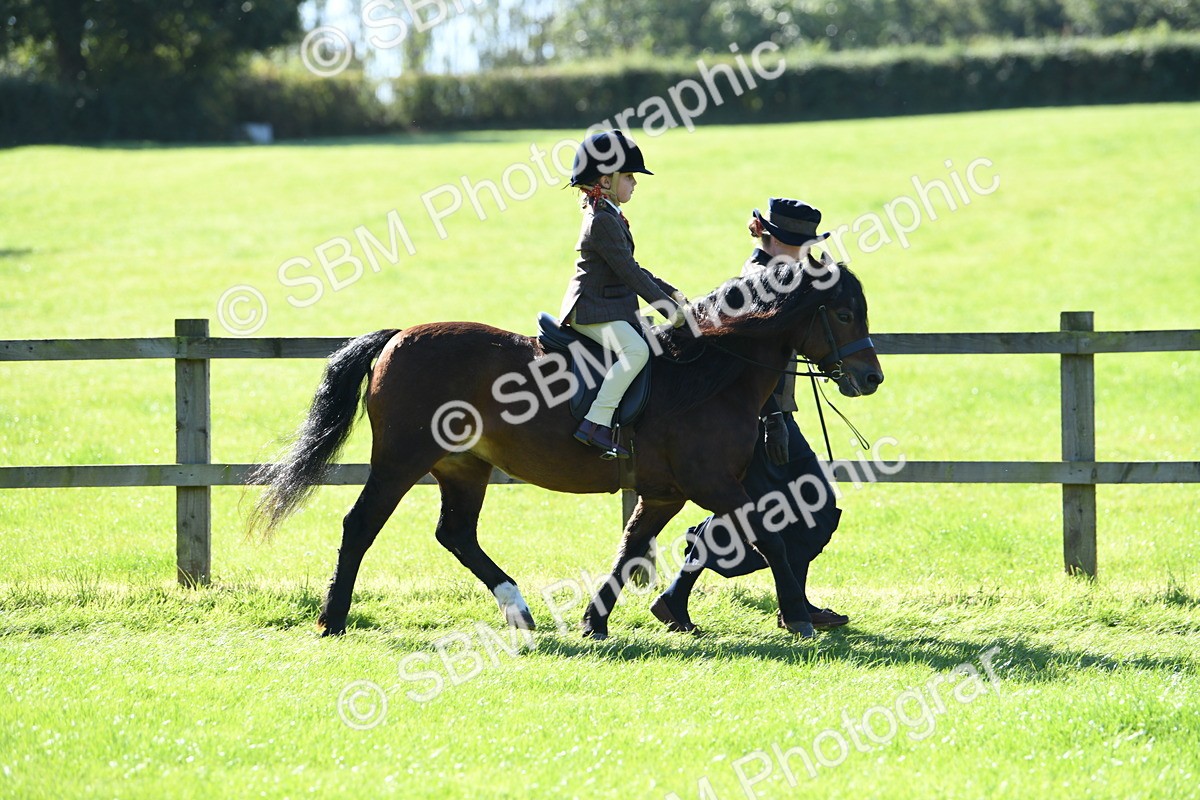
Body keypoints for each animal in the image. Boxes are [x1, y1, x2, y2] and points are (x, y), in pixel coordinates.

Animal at [249, 256, 883, 640]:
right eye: (844, 312)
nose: (870, 377)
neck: (710, 374)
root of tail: (398, 336)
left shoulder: (665, 493)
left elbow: (630, 549)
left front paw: (596, 622)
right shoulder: (713, 484)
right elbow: (770, 536)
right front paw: (798, 617)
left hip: (464, 467)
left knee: (456, 535)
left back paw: (519, 610)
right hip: (401, 462)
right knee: (360, 526)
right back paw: (332, 619)